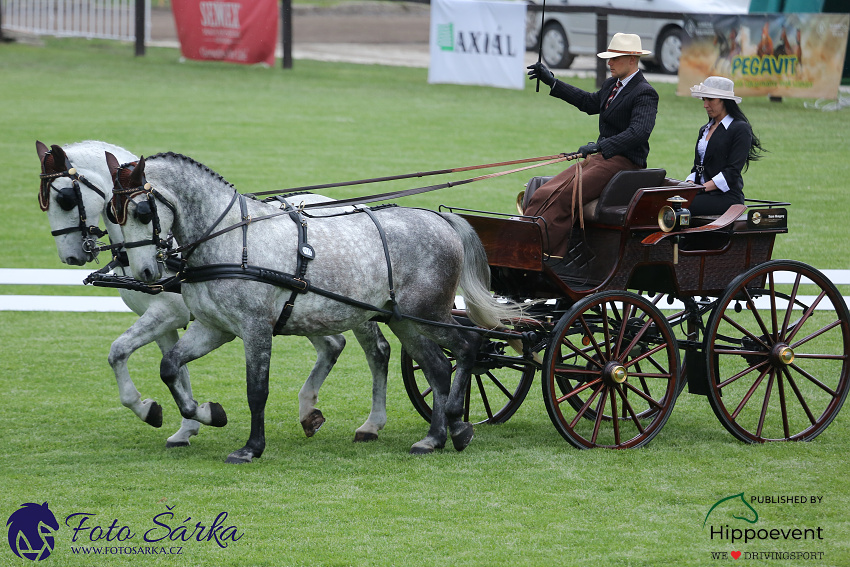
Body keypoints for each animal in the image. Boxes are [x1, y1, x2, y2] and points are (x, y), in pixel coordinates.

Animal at [34, 142, 390, 448]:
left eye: (65, 198)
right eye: (112, 209)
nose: (72, 256)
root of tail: (351, 204)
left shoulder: (168, 313)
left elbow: (120, 351)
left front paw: (153, 410)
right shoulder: (171, 320)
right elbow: (170, 367)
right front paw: (187, 423)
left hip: (355, 308)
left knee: (377, 352)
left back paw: (370, 424)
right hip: (307, 311)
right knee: (333, 344)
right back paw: (309, 413)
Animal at [106, 153, 516, 464]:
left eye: (142, 212)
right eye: (113, 214)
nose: (144, 272)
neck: (231, 239)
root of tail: (438, 217)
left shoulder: (255, 328)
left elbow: (257, 390)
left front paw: (251, 448)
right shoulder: (213, 328)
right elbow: (169, 366)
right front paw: (206, 413)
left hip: (428, 314)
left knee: (465, 347)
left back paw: (456, 424)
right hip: (405, 321)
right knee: (436, 368)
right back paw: (433, 437)